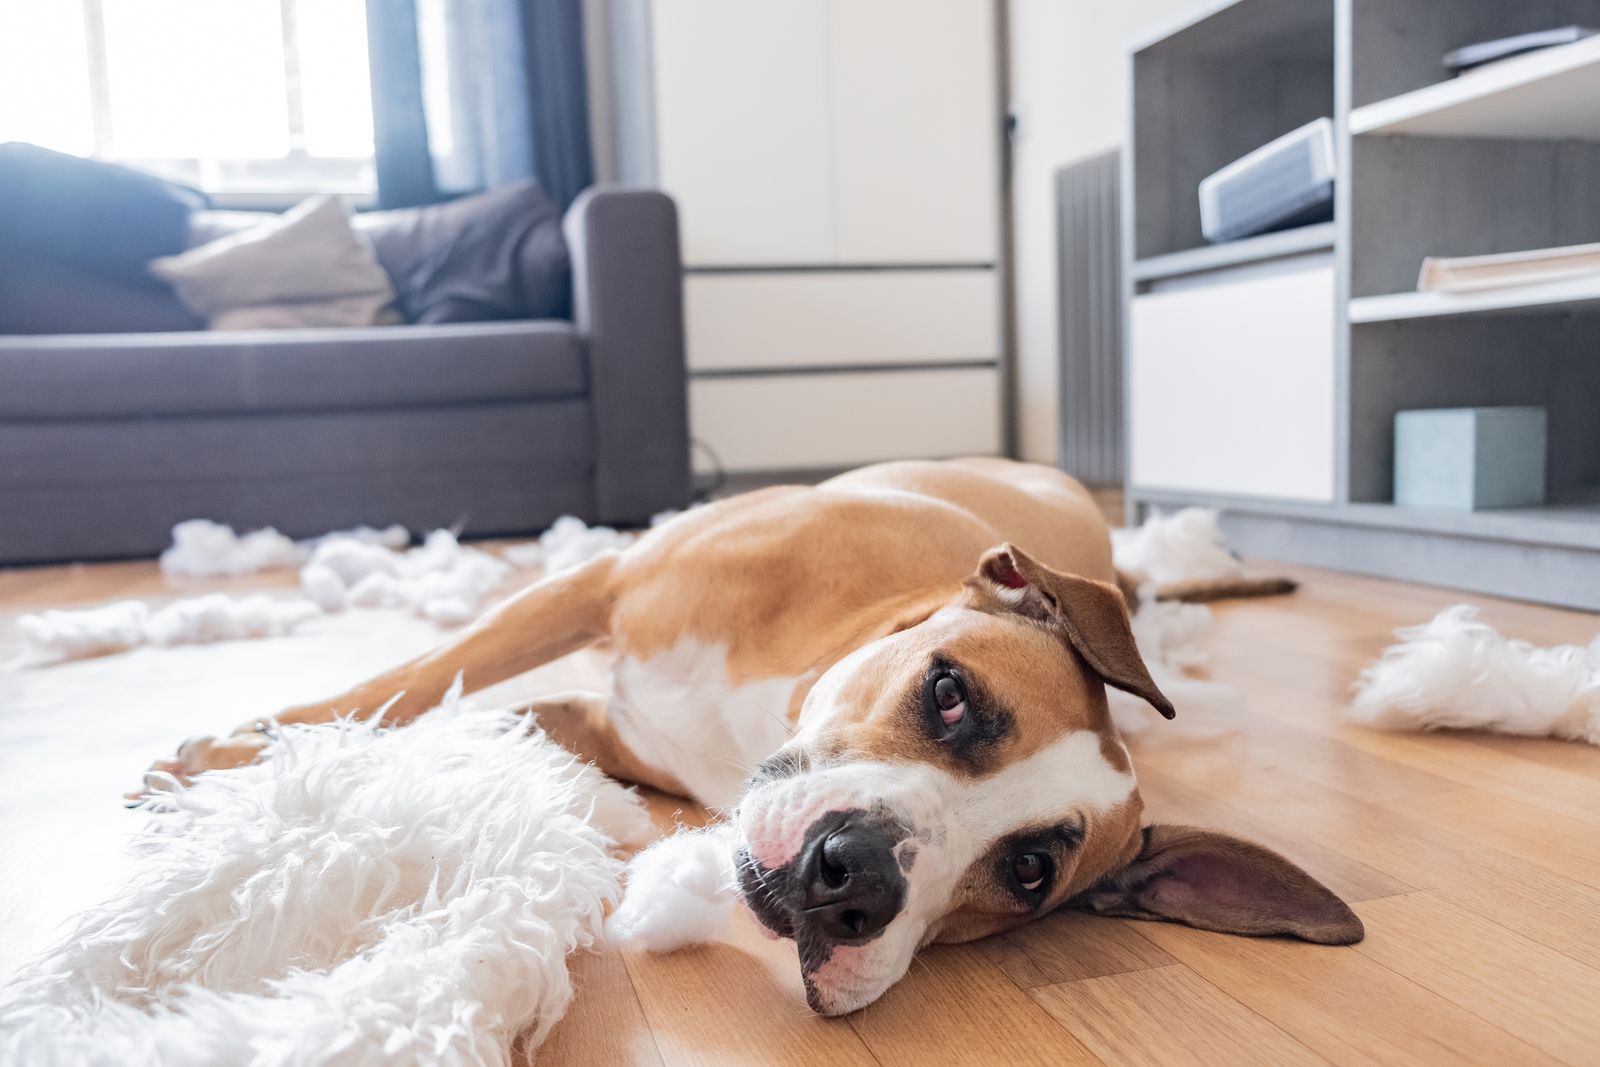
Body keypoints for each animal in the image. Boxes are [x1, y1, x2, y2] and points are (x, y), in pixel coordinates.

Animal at [147, 460, 1363, 1017]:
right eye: (949, 693)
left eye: (1028, 871)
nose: (853, 875)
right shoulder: (597, 583)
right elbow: (407, 683)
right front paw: (238, 757)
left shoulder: (596, 720)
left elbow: (464, 714)